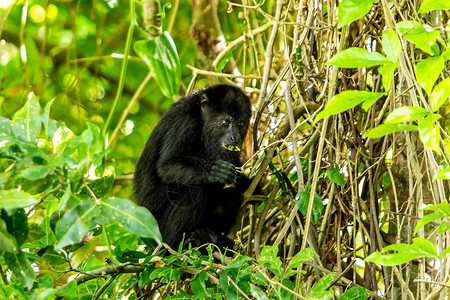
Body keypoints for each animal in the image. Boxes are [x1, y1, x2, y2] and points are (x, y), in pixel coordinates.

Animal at [134, 84, 253, 248]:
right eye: (225, 123)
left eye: (240, 123)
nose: (235, 137)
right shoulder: (186, 123)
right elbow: (166, 166)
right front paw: (213, 172)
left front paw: (247, 183)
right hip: (158, 232)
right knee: (193, 192)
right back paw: (177, 245)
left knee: (231, 196)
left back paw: (208, 236)